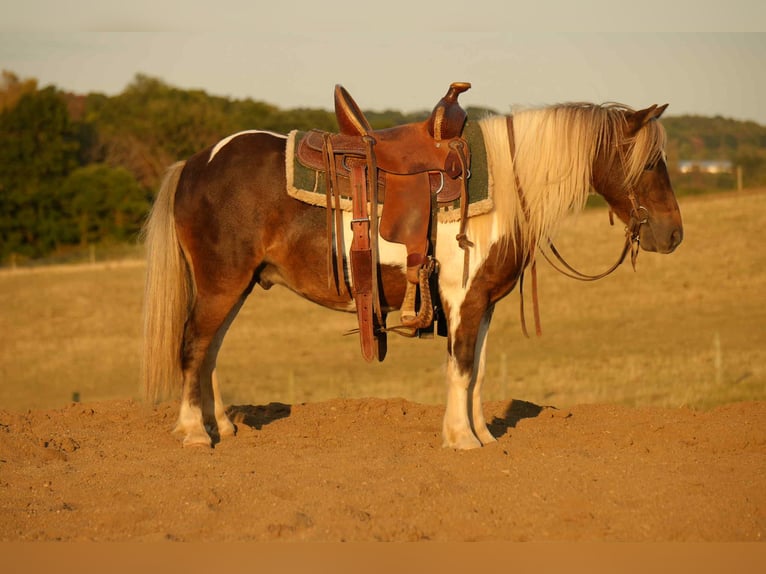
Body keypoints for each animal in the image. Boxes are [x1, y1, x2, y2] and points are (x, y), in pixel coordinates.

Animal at [141, 97, 683, 450]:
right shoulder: (463, 298)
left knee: (210, 349)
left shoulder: (483, 302)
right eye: (650, 163)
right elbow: (460, 366)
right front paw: (461, 439)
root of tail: (194, 163)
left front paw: (483, 434)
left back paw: (223, 427)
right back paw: (194, 433)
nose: (674, 235)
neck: (505, 187)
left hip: (237, 286)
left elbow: (477, 369)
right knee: (193, 345)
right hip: (221, 284)